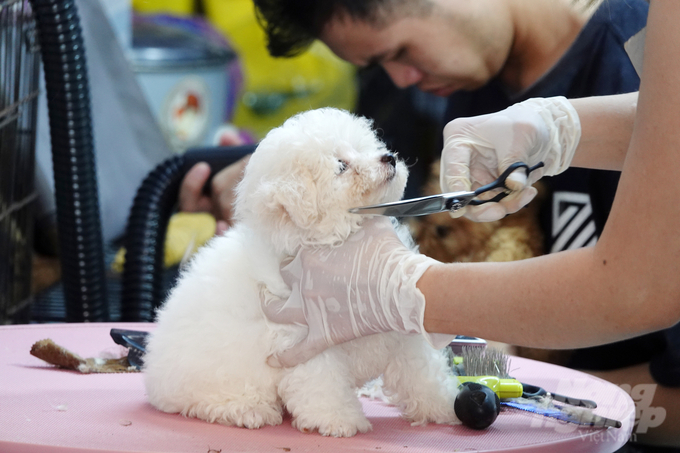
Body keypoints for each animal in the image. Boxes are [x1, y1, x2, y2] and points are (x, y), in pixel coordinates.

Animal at [143, 107, 456, 436]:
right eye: (342, 165)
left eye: (364, 148)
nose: (389, 158)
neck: (337, 241)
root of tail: (152, 371)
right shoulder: (303, 341)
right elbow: (323, 384)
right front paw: (341, 420)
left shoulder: (400, 320)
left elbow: (422, 373)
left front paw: (443, 406)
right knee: (206, 400)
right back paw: (247, 409)